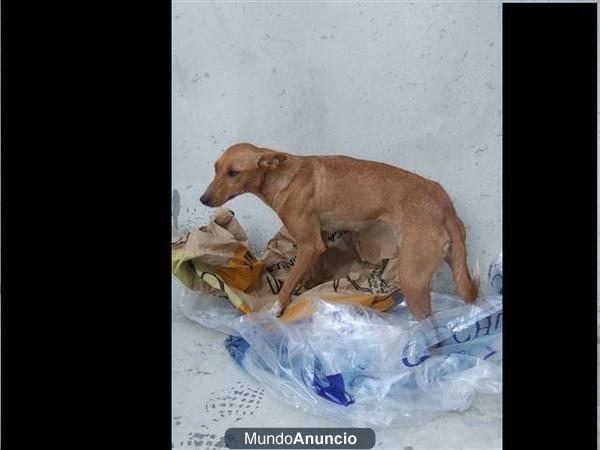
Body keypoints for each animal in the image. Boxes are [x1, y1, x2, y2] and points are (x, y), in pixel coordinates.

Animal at [199, 142, 480, 318]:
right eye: (215, 168)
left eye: (233, 173)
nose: (203, 199)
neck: (284, 178)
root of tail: (444, 202)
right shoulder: (317, 242)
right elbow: (310, 273)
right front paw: (310, 290)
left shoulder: (309, 244)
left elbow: (288, 283)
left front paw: (276, 310)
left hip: (412, 278)